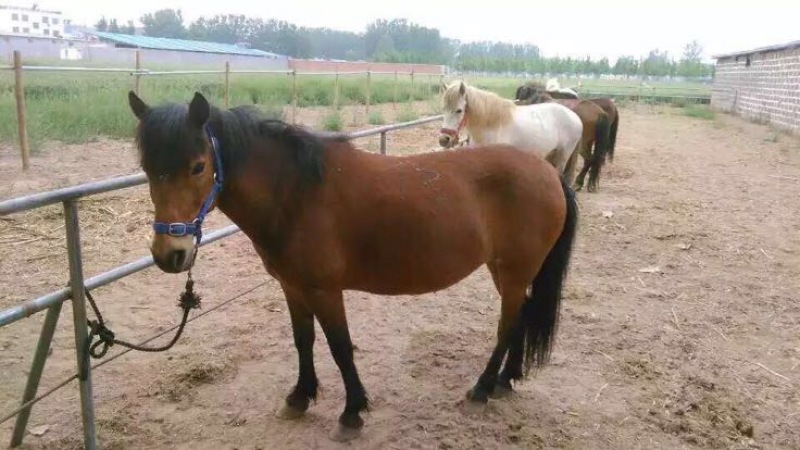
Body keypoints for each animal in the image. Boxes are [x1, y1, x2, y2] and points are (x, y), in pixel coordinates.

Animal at [127, 91, 579, 442]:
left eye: (198, 166)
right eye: (147, 169)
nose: (169, 254)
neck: (296, 193)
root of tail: (549, 174)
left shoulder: (326, 290)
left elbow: (340, 347)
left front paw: (351, 412)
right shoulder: (292, 287)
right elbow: (304, 341)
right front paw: (300, 396)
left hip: (515, 269)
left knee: (506, 324)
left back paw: (483, 388)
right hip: (507, 270)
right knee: (521, 315)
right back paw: (507, 379)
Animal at [439, 80, 583, 179]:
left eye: (459, 110)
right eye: (443, 109)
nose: (443, 140)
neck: (492, 125)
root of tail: (575, 116)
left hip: (564, 154)